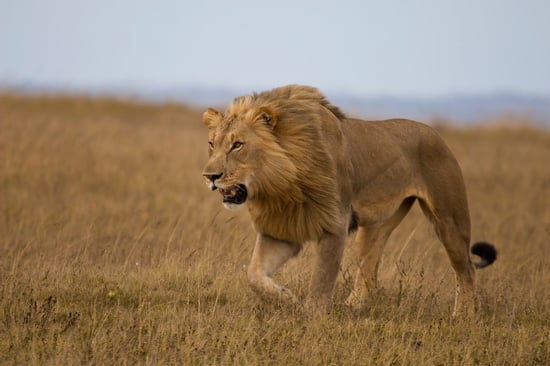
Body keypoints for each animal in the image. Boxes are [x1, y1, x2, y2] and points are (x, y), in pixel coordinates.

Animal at [202, 85, 496, 314]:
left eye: (237, 145)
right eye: (211, 144)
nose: (210, 176)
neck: (281, 185)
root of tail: (435, 132)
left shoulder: (334, 224)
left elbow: (321, 281)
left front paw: (312, 317)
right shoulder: (281, 229)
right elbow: (254, 274)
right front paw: (287, 299)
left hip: (448, 219)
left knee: (467, 269)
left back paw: (463, 316)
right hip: (375, 228)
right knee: (369, 272)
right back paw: (352, 307)